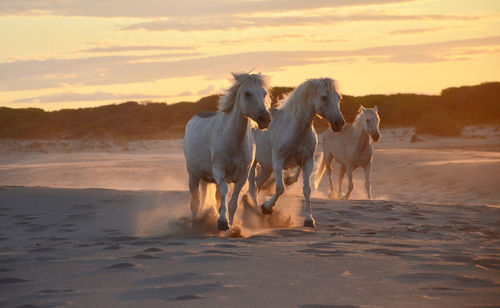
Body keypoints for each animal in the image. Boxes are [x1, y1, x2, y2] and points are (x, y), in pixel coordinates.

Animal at [183, 73, 270, 231]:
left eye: (264, 93)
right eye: (247, 93)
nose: (265, 119)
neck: (233, 141)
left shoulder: (243, 176)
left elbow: (233, 201)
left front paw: (230, 223)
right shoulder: (218, 170)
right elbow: (225, 189)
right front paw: (222, 222)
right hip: (193, 175)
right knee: (195, 203)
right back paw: (194, 225)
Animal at [249, 78, 346, 227]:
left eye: (338, 98)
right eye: (324, 97)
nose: (339, 124)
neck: (296, 129)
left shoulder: (307, 161)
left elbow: (306, 189)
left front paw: (309, 219)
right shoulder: (278, 161)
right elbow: (280, 188)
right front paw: (266, 207)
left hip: (266, 168)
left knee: (257, 185)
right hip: (253, 164)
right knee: (251, 185)